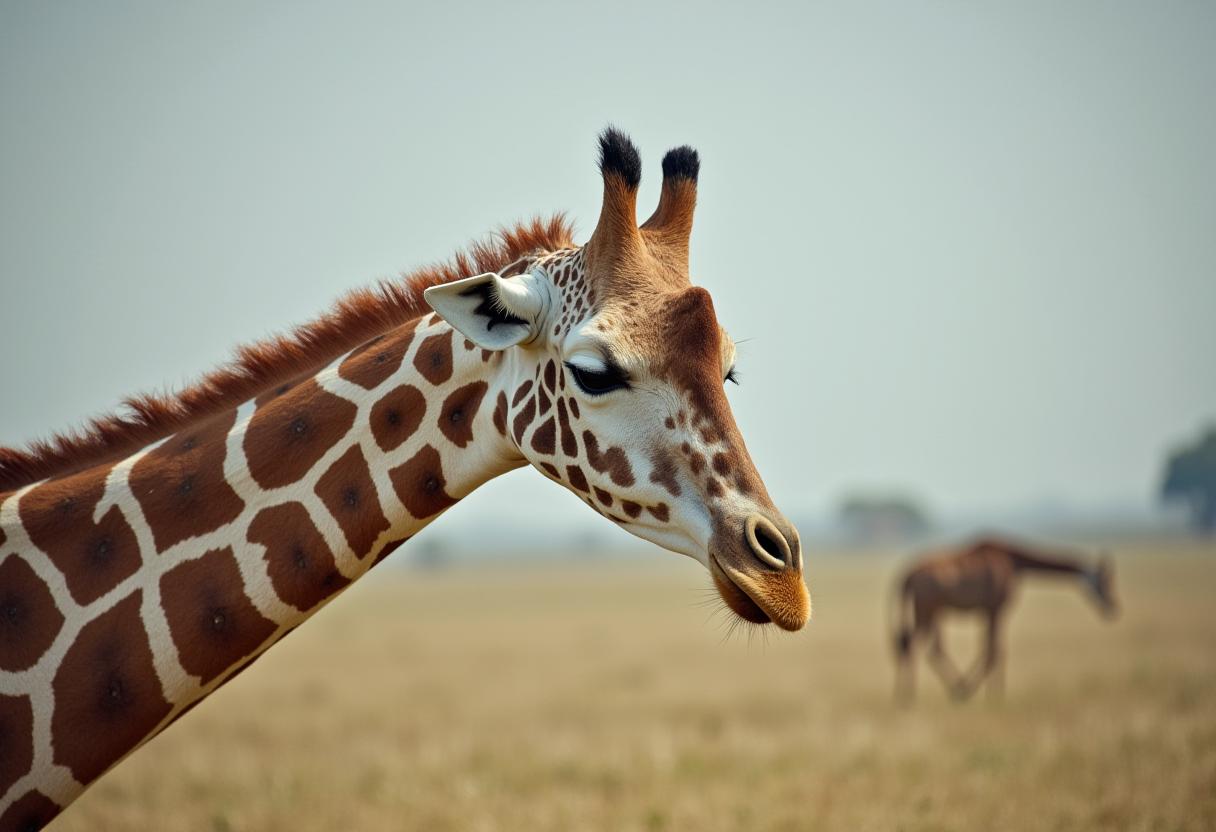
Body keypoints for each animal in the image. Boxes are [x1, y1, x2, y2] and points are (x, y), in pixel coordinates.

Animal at [890, 535, 1118, 704]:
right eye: (1105, 582)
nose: (1115, 608)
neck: (1012, 560)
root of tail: (908, 575)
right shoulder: (997, 609)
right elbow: (995, 651)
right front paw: (993, 696)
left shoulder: (987, 612)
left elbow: (992, 649)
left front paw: (989, 693)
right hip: (928, 611)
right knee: (913, 645)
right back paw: (918, 695)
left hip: (933, 612)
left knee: (917, 645)